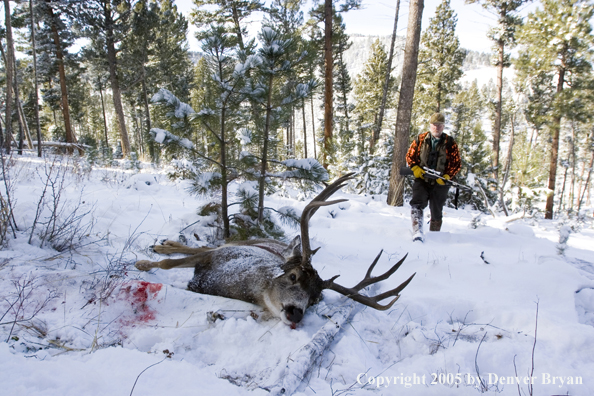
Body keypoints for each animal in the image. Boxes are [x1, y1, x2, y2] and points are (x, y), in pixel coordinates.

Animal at [135, 175, 414, 326]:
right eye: (293, 276)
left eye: (314, 300)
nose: (295, 312)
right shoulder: (216, 256)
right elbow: (168, 265)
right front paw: (142, 264)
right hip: (237, 244)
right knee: (203, 244)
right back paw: (162, 245)